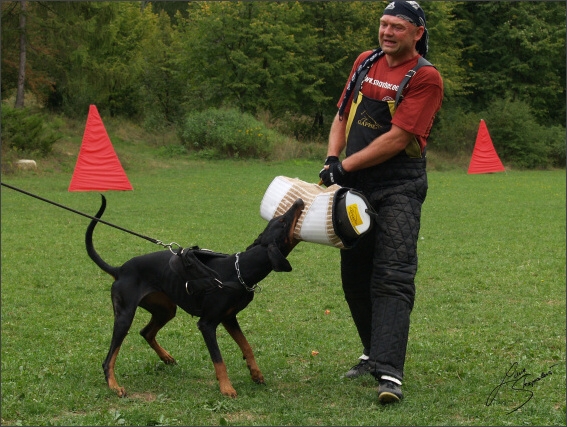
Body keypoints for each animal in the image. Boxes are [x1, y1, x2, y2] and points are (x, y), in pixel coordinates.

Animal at [85, 194, 306, 398]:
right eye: (282, 221)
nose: (299, 201)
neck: (239, 270)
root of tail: (119, 270)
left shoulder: (229, 318)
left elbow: (247, 346)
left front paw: (256, 374)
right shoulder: (207, 324)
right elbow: (218, 359)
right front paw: (226, 388)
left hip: (166, 309)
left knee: (146, 332)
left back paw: (166, 358)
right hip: (125, 316)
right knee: (108, 359)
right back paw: (114, 386)